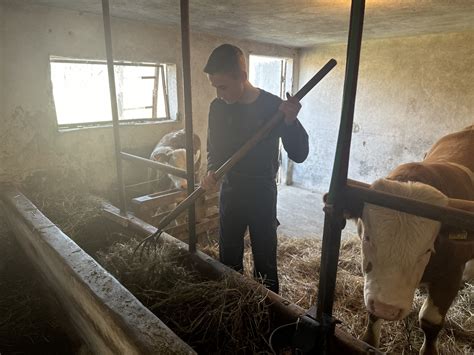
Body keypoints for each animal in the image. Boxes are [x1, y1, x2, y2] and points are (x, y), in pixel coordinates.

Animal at [350, 125, 472, 354]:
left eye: (427, 250)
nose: (387, 308)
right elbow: (372, 316)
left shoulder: (452, 272)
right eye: (367, 238)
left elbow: (430, 322)